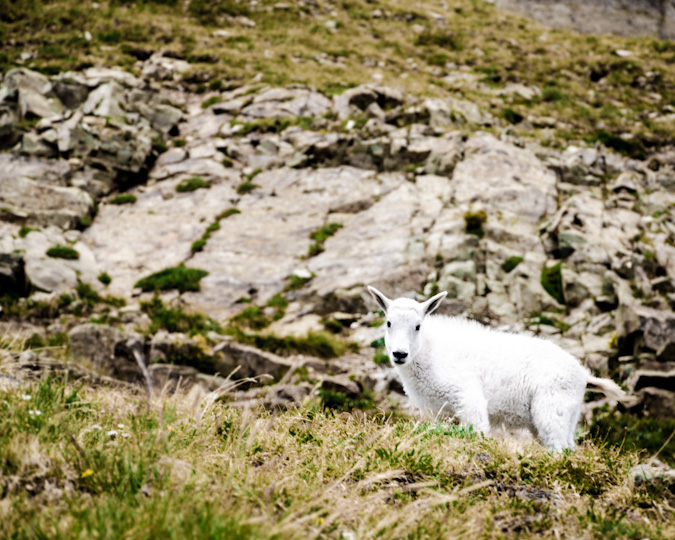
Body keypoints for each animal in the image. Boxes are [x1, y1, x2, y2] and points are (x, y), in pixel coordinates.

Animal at [370, 286, 628, 452]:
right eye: (388, 323)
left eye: (417, 326)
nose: (400, 354)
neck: (429, 352)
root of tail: (583, 375)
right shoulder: (439, 413)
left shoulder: (467, 397)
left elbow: (478, 430)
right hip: (568, 415)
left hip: (551, 408)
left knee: (557, 445)